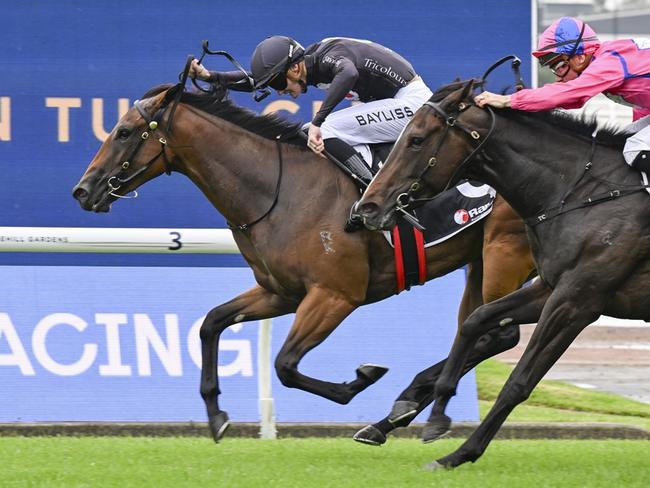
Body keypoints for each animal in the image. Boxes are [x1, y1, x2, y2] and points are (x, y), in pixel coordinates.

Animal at [73, 82, 536, 444]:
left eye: (123, 132)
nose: (83, 190)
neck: (280, 190)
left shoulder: (335, 294)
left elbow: (285, 364)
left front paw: (361, 379)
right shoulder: (281, 292)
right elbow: (212, 323)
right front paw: (216, 415)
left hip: (505, 252)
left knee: (497, 333)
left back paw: (405, 403)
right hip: (480, 261)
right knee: (476, 331)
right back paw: (392, 415)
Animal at [354, 81, 648, 468]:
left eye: (416, 139)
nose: (368, 207)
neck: (588, 191)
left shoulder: (578, 301)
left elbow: (519, 381)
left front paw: (460, 452)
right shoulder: (551, 288)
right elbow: (475, 321)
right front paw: (436, 416)